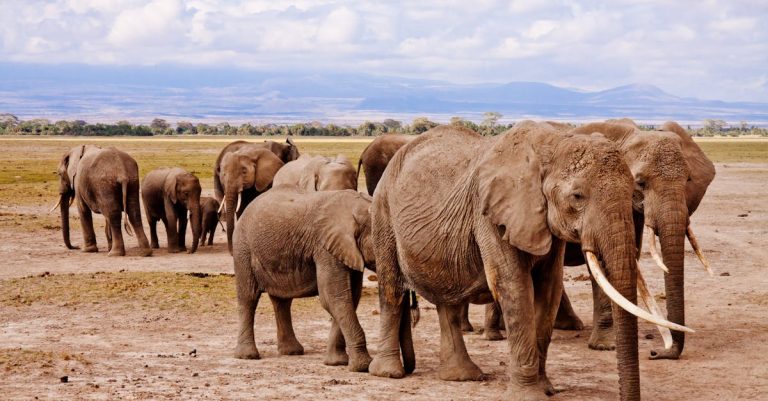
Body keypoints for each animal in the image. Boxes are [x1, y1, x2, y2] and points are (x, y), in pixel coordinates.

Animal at [233, 186, 375, 372]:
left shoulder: (347, 251)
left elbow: (349, 298)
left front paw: (336, 363)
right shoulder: (325, 248)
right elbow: (334, 297)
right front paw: (363, 366)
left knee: (282, 301)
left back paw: (291, 352)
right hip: (243, 248)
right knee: (248, 297)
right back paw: (247, 356)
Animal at [368, 122, 691, 401]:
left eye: (633, 190)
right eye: (577, 196)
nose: (655, 353)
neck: (552, 145)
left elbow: (548, 290)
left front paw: (547, 388)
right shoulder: (490, 215)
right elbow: (515, 288)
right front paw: (529, 395)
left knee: (447, 300)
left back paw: (461, 376)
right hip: (383, 213)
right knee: (392, 291)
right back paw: (389, 373)